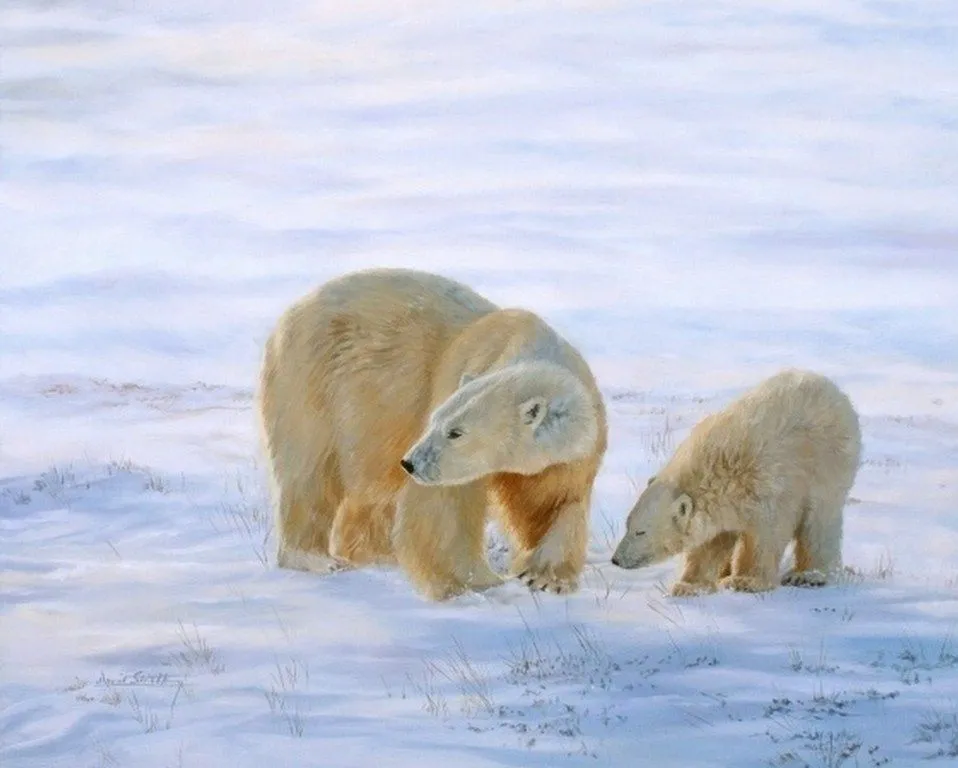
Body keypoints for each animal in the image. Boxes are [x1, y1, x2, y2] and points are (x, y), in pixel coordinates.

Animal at [256, 268, 608, 600]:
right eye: (436, 421)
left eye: (456, 432)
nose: (411, 463)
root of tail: (292, 312)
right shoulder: (462, 371)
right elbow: (446, 505)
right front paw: (475, 582)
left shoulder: (572, 453)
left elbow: (555, 502)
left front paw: (546, 578)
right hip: (314, 379)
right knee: (309, 470)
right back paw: (317, 558)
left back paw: (377, 553)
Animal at [612, 368, 868, 596]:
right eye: (628, 525)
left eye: (641, 532)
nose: (616, 559)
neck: (719, 470)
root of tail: (831, 387)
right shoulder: (720, 505)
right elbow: (711, 543)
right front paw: (688, 585)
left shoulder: (767, 488)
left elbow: (766, 535)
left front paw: (744, 581)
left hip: (828, 463)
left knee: (819, 520)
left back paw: (808, 575)